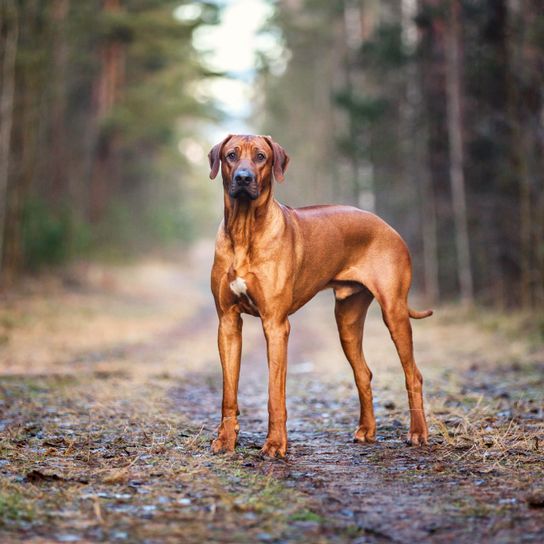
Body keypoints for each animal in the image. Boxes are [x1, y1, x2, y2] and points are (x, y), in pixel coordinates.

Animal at [206, 134, 432, 456]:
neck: (244, 229)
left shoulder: (276, 325)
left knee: (413, 374)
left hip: (394, 311)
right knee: (363, 373)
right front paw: (226, 439)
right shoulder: (227, 322)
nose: (243, 177)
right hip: (347, 320)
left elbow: (275, 394)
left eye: (261, 157)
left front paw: (275, 444)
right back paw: (367, 430)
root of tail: (388, 226)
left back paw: (418, 432)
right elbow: (228, 393)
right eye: (231, 155)